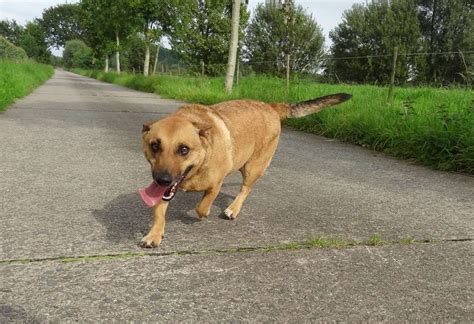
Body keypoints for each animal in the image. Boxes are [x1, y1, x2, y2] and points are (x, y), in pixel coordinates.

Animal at [139, 93, 350, 248]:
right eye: (155, 145)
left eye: (184, 150)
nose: (162, 179)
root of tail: (271, 106)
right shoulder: (164, 191)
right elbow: (159, 212)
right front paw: (154, 234)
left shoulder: (216, 183)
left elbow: (203, 205)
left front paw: (204, 213)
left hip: (253, 167)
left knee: (246, 189)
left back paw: (233, 209)